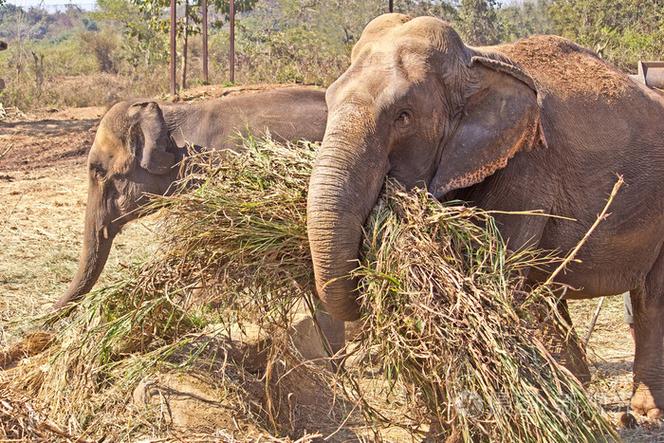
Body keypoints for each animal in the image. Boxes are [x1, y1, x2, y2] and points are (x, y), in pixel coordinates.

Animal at [306, 14, 664, 419]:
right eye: (329, 101)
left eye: (403, 116)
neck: (474, 61)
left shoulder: (527, 166)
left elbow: (496, 275)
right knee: (550, 289)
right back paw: (572, 388)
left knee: (650, 298)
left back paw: (644, 410)